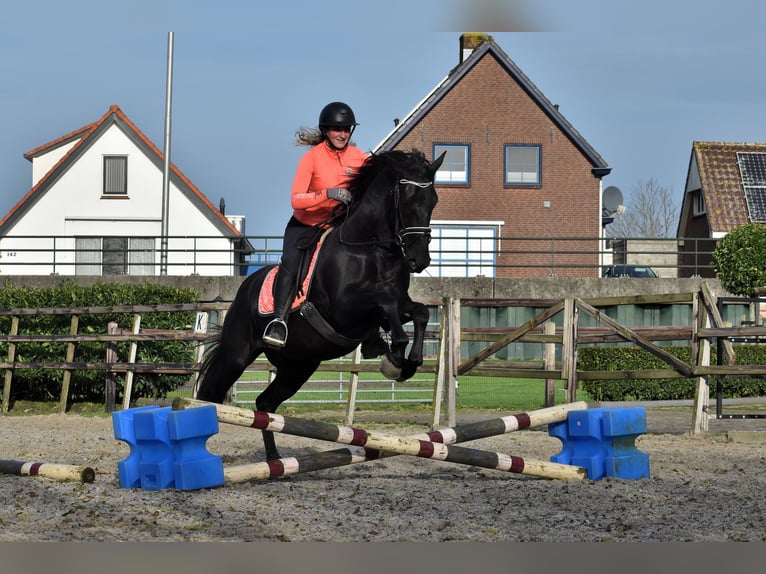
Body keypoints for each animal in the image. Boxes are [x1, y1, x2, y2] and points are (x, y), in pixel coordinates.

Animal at [198, 151, 448, 462]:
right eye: (407, 199)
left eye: (433, 200)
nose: (419, 260)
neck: (372, 248)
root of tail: (245, 287)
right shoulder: (344, 308)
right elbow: (384, 301)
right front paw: (395, 357)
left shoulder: (397, 304)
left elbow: (419, 311)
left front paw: (407, 361)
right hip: (237, 355)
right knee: (210, 394)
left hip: (298, 366)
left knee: (265, 403)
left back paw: (274, 459)